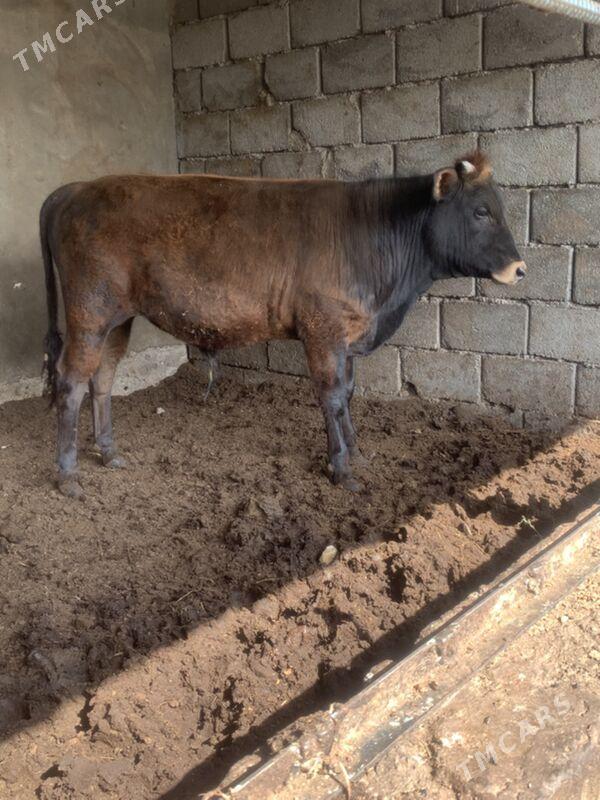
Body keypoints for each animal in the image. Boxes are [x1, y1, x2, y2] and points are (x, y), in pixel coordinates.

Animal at [40, 150, 525, 499]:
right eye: (481, 212)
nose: (520, 269)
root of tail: (76, 189)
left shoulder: (347, 336)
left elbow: (349, 393)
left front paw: (358, 452)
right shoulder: (323, 330)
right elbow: (332, 397)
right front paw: (341, 467)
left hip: (117, 318)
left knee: (102, 377)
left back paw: (108, 453)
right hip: (88, 312)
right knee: (71, 381)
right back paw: (67, 475)